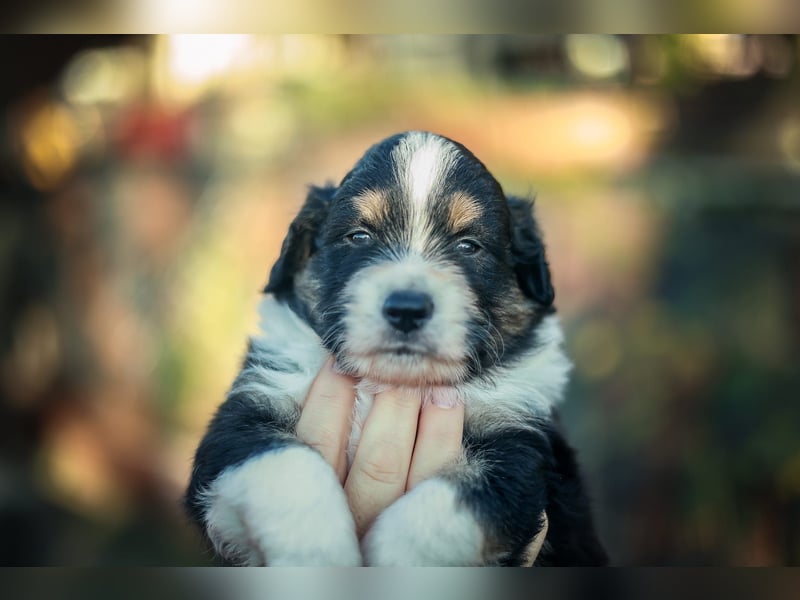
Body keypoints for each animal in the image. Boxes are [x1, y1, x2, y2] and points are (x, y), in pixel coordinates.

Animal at [186, 129, 608, 564]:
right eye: (359, 236)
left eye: (468, 245)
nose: (406, 309)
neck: (388, 384)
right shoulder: (242, 418)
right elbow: (288, 466)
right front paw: (317, 552)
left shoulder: (521, 447)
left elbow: (447, 507)